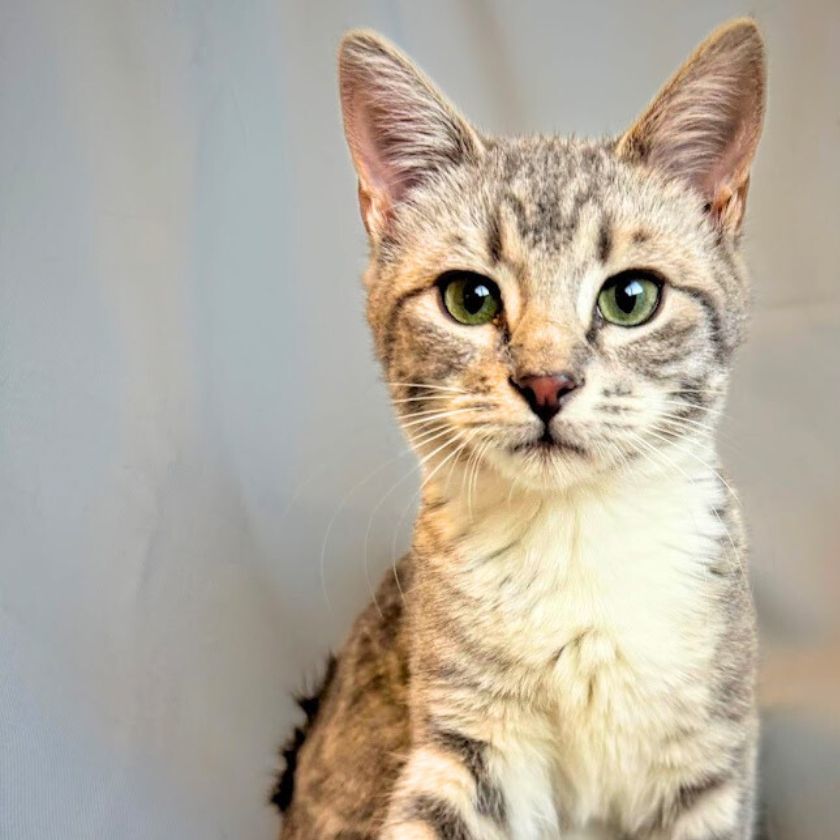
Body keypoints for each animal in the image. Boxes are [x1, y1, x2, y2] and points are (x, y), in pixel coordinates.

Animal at [276, 18, 768, 840]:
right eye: (469, 298)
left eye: (631, 297)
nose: (546, 382)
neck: (573, 538)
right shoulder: (467, 741)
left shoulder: (708, 755)